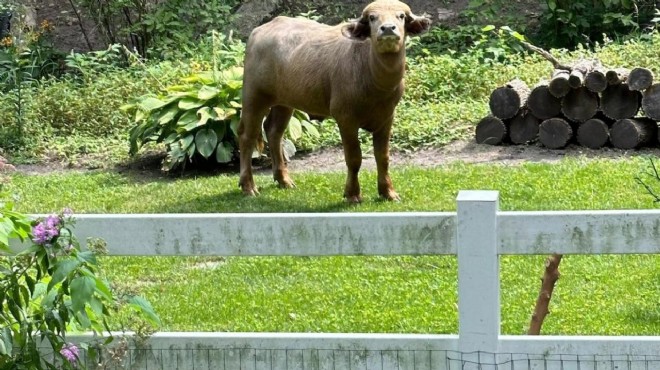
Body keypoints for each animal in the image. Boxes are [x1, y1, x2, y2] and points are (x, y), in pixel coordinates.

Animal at [240, 0, 430, 202]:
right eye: (372, 18)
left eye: (401, 16)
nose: (387, 28)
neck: (374, 80)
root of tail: (259, 31)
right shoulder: (345, 118)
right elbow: (354, 158)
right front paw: (352, 194)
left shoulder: (387, 117)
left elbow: (383, 157)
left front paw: (388, 192)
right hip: (254, 96)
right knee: (247, 135)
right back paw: (248, 186)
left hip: (284, 101)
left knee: (274, 131)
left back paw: (284, 180)